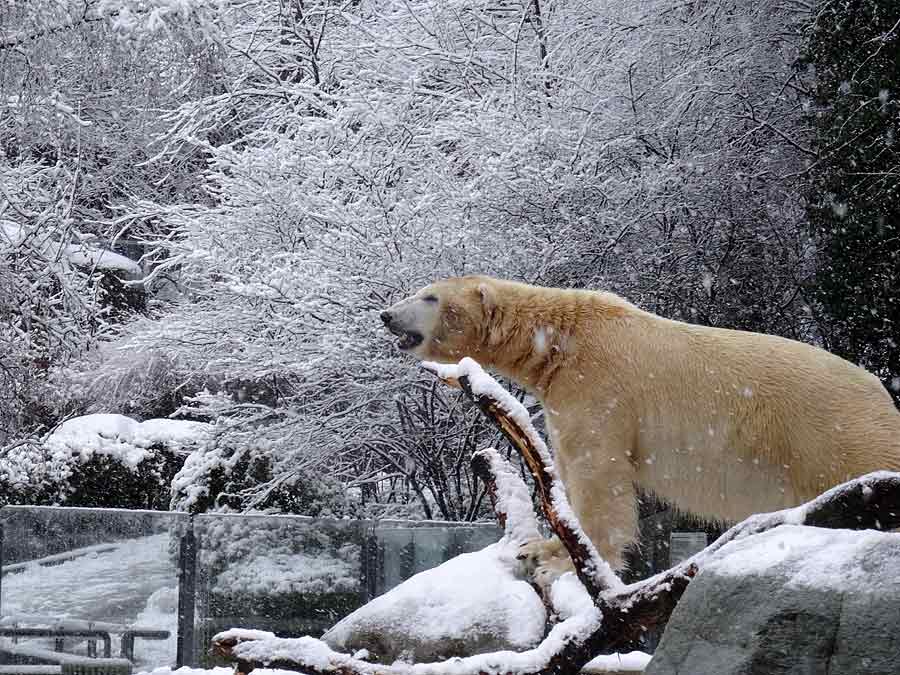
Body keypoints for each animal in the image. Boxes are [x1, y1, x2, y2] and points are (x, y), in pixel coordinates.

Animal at [378, 274, 900, 572]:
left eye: (429, 296)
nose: (386, 314)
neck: (557, 343)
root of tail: (882, 394)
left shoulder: (599, 386)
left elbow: (598, 476)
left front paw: (557, 558)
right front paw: (543, 546)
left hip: (833, 435)